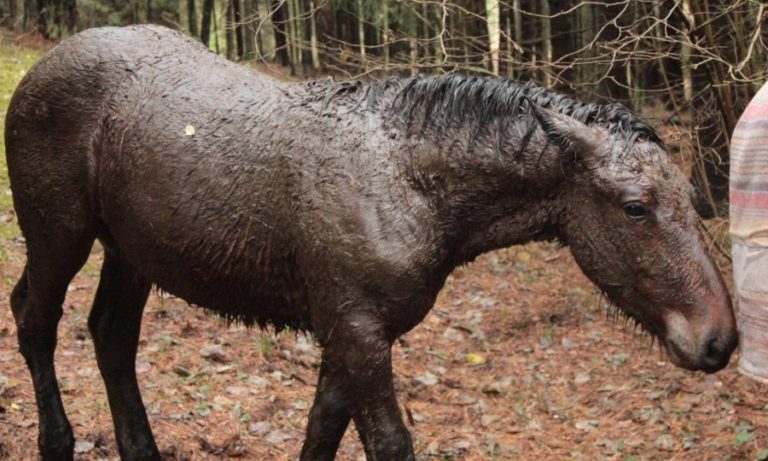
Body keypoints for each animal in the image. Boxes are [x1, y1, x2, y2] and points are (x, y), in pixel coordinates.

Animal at [6, 25, 736, 460]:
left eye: (691, 199)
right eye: (636, 207)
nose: (719, 339)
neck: (412, 181)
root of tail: (43, 66)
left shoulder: (350, 331)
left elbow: (321, 432)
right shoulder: (357, 330)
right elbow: (387, 441)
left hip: (129, 251)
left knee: (111, 335)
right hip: (59, 235)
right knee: (34, 320)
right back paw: (56, 440)